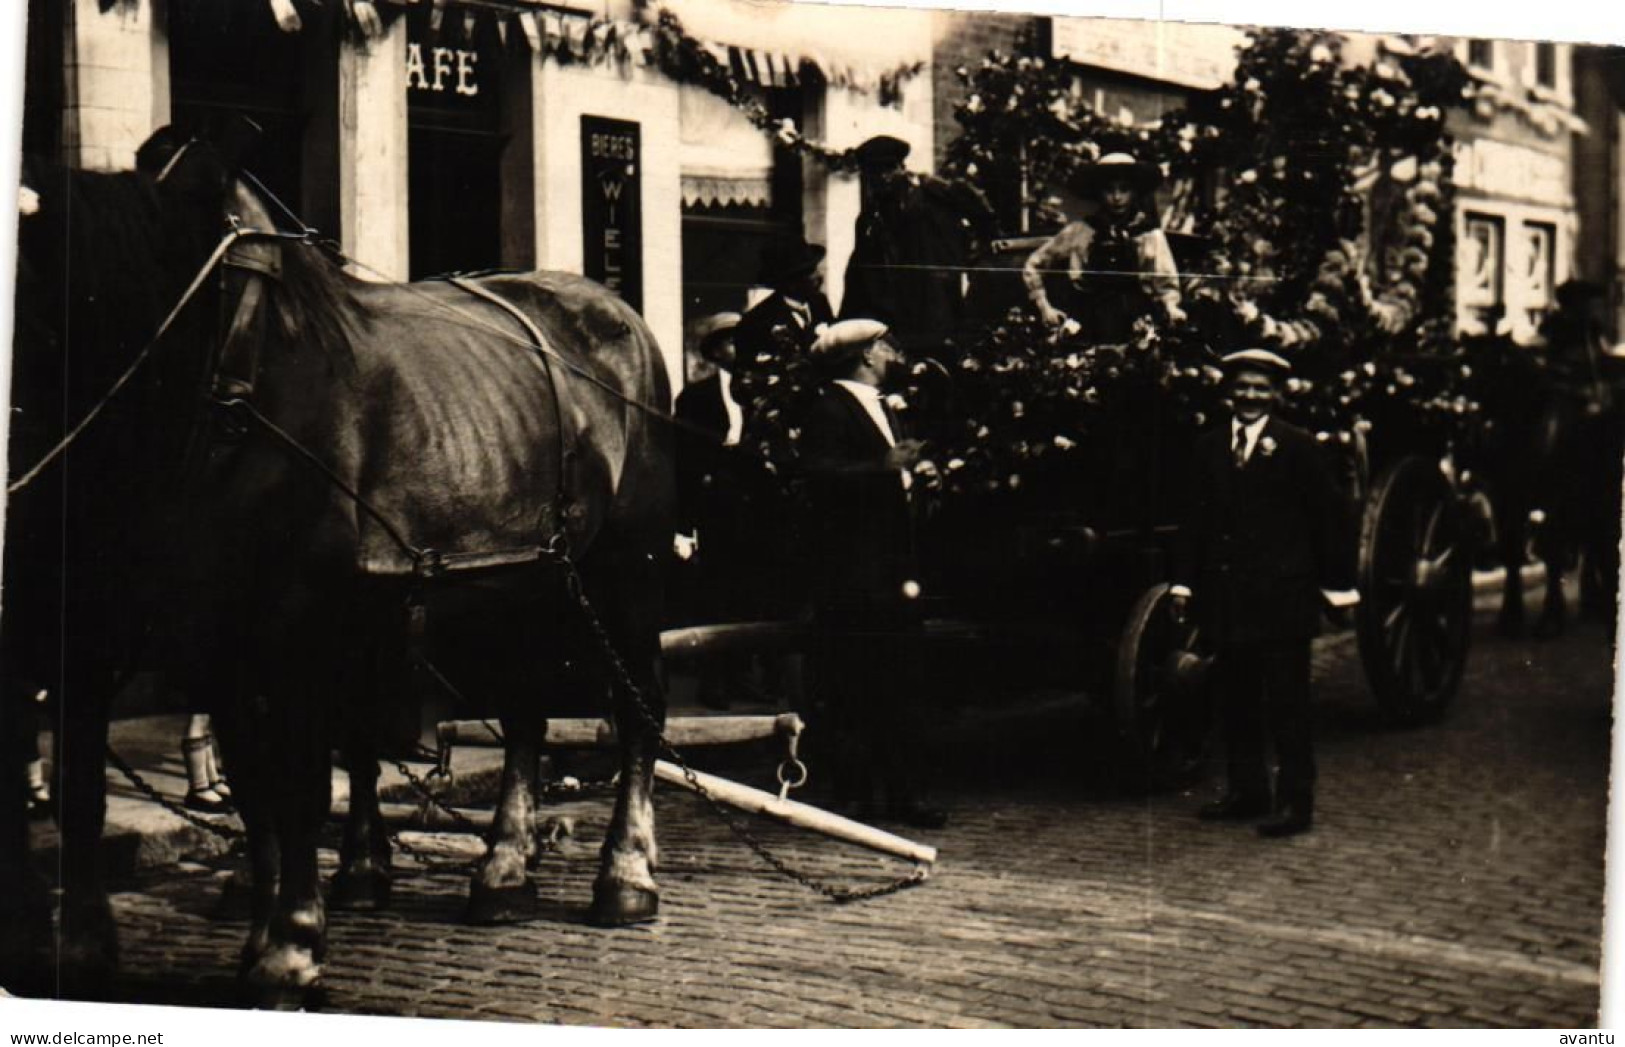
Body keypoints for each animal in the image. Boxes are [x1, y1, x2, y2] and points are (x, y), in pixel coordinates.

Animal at [1, 130, 672, 994]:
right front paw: (254, 927)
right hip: (523, 583)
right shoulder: (192, 633)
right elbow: (231, 783)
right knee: (524, 707)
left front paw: (291, 942)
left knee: (638, 705)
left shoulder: (291, 623)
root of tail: (617, 312)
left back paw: (625, 874)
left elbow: (297, 780)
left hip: (626, 568)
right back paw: (502, 870)